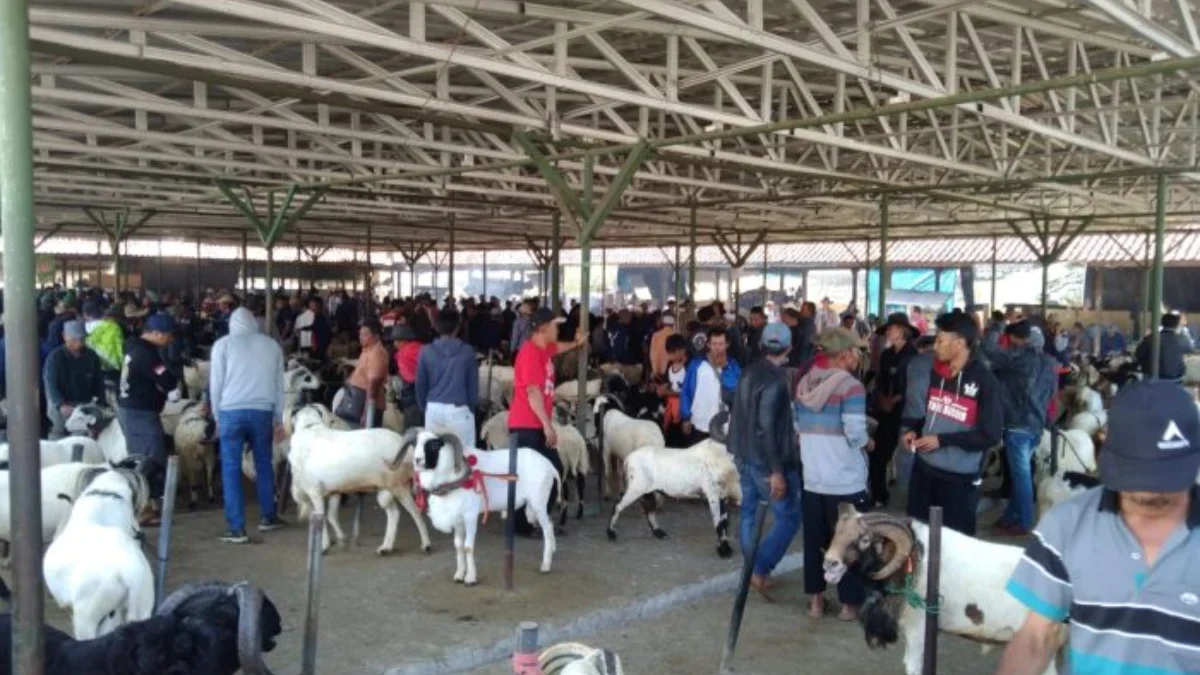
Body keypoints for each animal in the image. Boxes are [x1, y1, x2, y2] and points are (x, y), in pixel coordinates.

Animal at [286, 403, 432, 552]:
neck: (309, 427)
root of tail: (408, 448)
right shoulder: (333, 491)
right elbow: (331, 516)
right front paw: (341, 538)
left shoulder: (314, 492)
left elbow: (321, 518)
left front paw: (324, 546)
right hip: (385, 488)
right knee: (394, 514)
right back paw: (385, 548)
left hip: (398, 485)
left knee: (415, 512)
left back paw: (426, 544)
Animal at [412, 429, 561, 583]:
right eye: (415, 443)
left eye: (434, 445)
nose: (417, 461)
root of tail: (550, 466)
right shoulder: (458, 519)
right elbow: (458, 546)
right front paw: (459, 574)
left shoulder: (470, 516)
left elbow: (468, 547)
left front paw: (470, 578)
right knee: (549, 525)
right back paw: (552, 551)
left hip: (539, 502)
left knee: (548, 528)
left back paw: (546, 565)